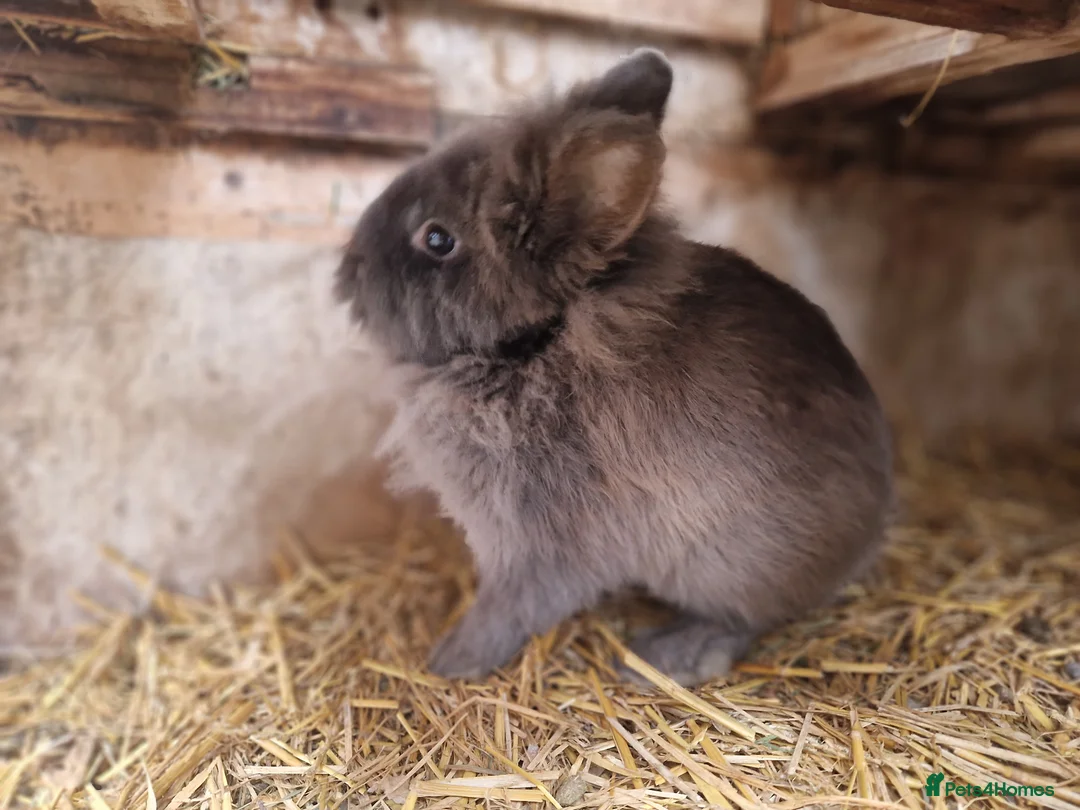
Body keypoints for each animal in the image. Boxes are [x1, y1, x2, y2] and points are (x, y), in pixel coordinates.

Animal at [334, 48, 895, 686]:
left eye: (436, 239)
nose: (348, 264)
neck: (535, 345)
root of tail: (868, 534)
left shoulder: (538, 545)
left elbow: (509, 606)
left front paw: (452, 659)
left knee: (746, 619)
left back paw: (665, 656)